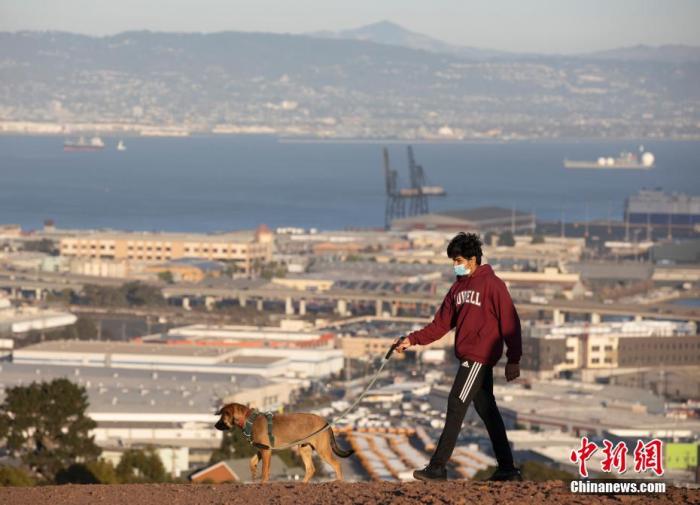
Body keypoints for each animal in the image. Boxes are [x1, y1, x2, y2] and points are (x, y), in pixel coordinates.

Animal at [215, 402, 356, 480]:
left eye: (223, 416)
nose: (215, 425)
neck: (250, 420)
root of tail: (326, 422)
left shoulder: (266, 452)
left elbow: (265, 472)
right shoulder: (262, 449)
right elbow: (252, 461)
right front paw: (253, 472)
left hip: (322, 449)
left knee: (336, 464)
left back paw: (338, 483)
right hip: (304, 448)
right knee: (310, 469)